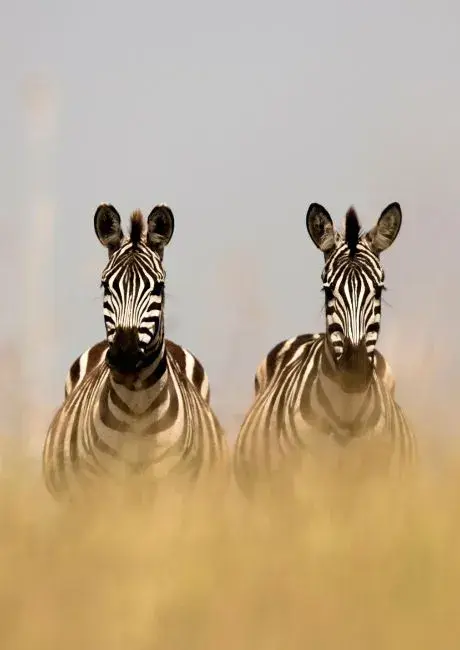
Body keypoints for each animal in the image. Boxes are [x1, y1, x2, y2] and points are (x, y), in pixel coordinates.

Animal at [43, 203, 229, 501]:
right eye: (105, 285)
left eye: (159, 286)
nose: (125, 355)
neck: (137, 409)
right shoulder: (104, 490)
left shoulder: (172, 489)